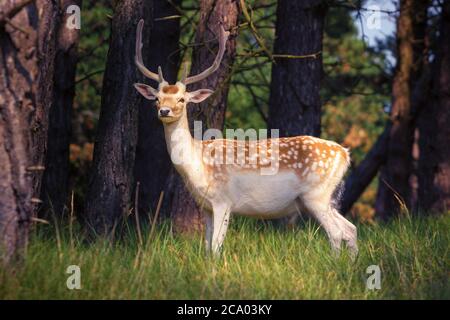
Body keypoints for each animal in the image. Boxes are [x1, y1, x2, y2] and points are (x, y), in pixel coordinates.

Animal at [132, 20, 356, 256]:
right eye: (157, 98)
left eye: (182, 99)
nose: (164, 111)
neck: (198, 165)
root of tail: (345, 154)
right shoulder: (205, 206)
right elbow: (206, 246)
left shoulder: (223, 200)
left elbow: (215, 246)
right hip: (326, 198)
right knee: (350, 229)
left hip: (316, 195)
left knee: (336, 233)